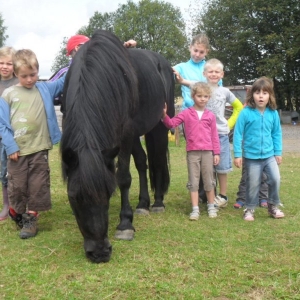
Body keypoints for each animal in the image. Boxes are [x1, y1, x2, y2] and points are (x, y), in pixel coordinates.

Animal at [59, 30, 175, 264]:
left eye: (108, 192)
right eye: (73, 197)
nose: (100, 253)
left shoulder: (126, 134)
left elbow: (123, 177)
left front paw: (125, 224)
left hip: (158, 125)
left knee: (157, 161)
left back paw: (157, 203)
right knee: (142, 162)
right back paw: (142, 205)